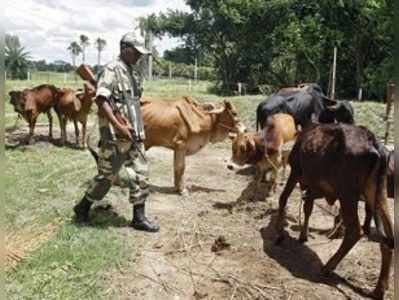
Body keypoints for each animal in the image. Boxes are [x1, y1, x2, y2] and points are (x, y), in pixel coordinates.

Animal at [276, 123, 396, 298]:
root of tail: (373, 141)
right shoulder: (313, 187)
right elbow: (308, 208)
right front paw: (303, 236)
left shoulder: (296, 171)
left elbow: (283, 198)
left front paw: (279, 234)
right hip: (377, 194)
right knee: (387, 239)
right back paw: (379, 289)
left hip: (348, 194)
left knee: (354, 232)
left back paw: (327, 267)